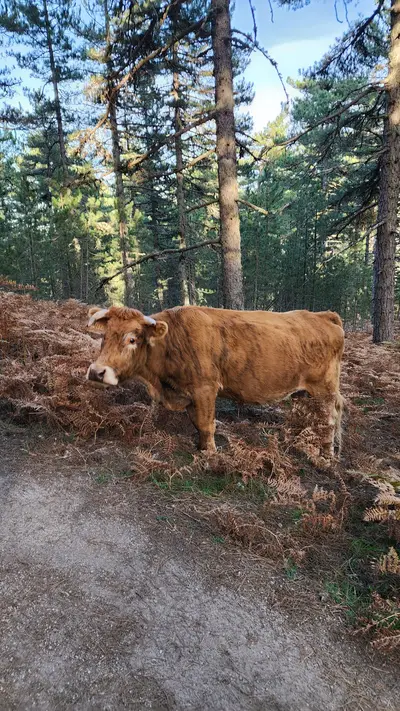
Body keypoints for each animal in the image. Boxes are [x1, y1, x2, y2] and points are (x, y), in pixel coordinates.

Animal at [86, 305, 345, 457]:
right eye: (105, 336)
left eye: (132, 339)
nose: (97, 372)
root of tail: (322, 315)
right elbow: (197, 424)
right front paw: (200, 448)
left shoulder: (205, 388)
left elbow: (206, 424)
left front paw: (210, 455)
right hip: (305, 392)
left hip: (325, 389)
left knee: (329, 420)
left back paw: (326, 455)